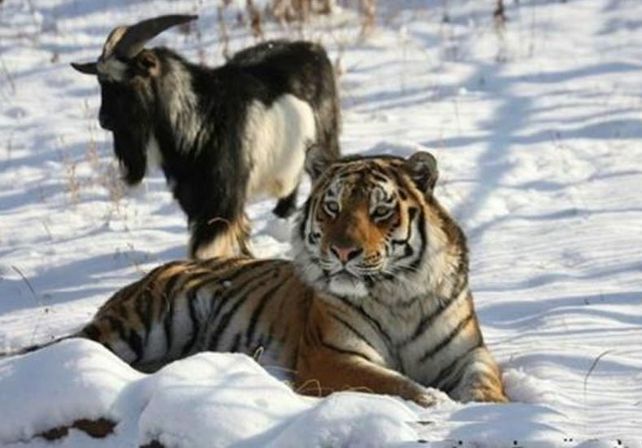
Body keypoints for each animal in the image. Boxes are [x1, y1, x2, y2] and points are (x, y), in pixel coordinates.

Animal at [7, 151, 507, 406]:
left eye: (380, 210)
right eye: (333, 207)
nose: (343, 252)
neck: (396, 294)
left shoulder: (469, 352)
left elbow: (485, 381)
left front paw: (490, 408)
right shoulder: (330, 356)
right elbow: (393, 383)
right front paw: (434, 401)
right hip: (140, 324)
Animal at [72, 15, 340, 258]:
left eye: (130, 80)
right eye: (101, 82)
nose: (104, 120)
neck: (200, 117)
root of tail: (313, 49)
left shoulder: (222, 197)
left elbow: (205, 248)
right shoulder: (194, 199)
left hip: (325, 141)